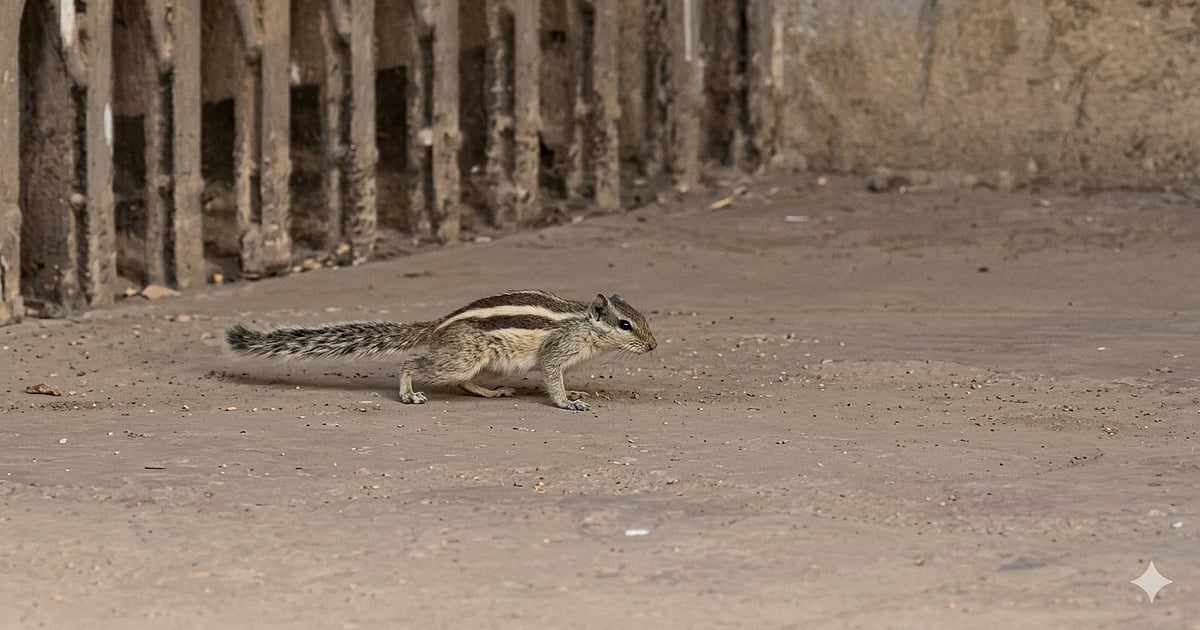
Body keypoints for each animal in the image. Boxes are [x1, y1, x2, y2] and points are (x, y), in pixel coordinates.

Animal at [226, 290, 657, 411]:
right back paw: (407, 393)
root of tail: (437, 327)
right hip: (462, 359)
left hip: (485, 364)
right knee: (412, 361)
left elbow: (563, 377)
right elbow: (552, 376)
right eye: (625, 325)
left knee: (467, 384)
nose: (653, 344)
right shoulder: (557, 350)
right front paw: (568, 402)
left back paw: (492, 392)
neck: (583, 324)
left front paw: (577, 390)